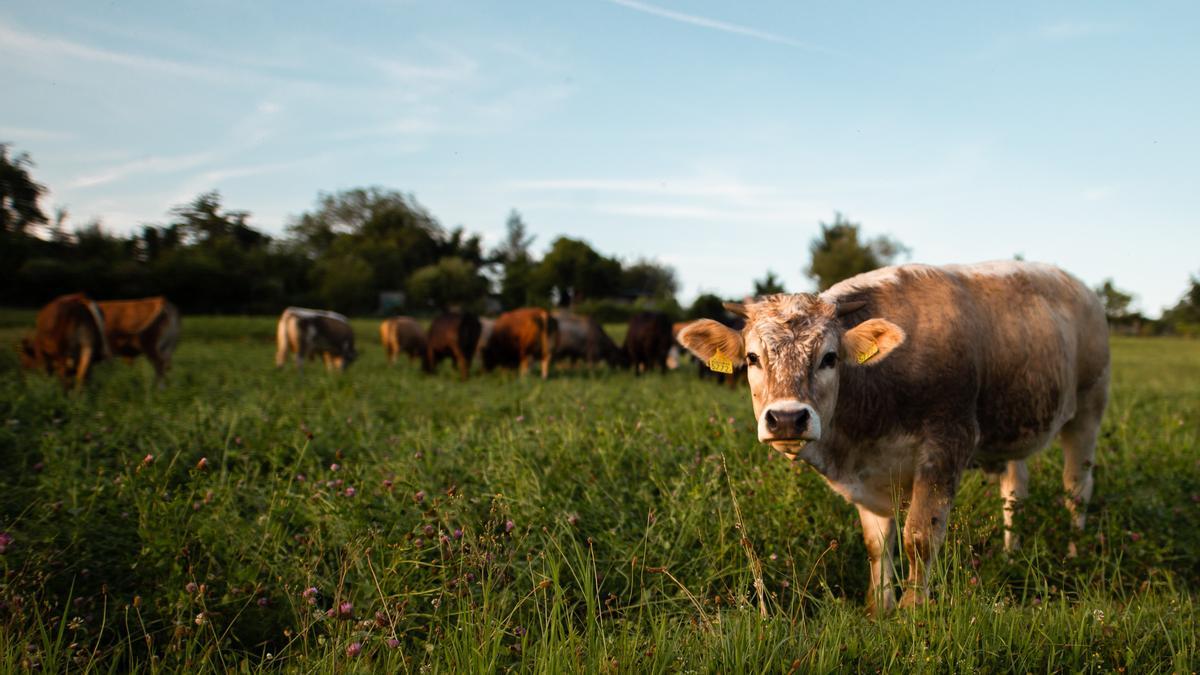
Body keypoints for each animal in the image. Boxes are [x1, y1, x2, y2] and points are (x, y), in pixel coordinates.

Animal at [681, 260, 1108, 612]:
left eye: (830, 358)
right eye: (752, 358)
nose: (787, 418)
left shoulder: (947, 443)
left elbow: (918, 536)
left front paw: (911, 611)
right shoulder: (868, 474)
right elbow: (876, 543)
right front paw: (879, 607)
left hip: (1088, 411)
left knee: (1077, 488)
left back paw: (1076, 554)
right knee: (1015, 491)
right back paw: (1010, 554)